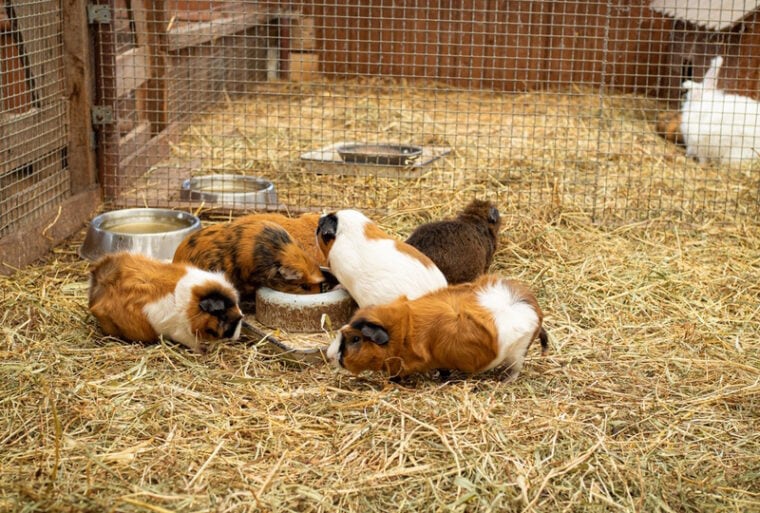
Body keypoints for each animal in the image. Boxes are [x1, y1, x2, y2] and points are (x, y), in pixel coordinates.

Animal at [326, 274, 549, 380]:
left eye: (355, 339)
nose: (329, 355)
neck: (401, 332)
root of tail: (534, 309)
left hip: (517, 354)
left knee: (515, 370)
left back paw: (505, 381)